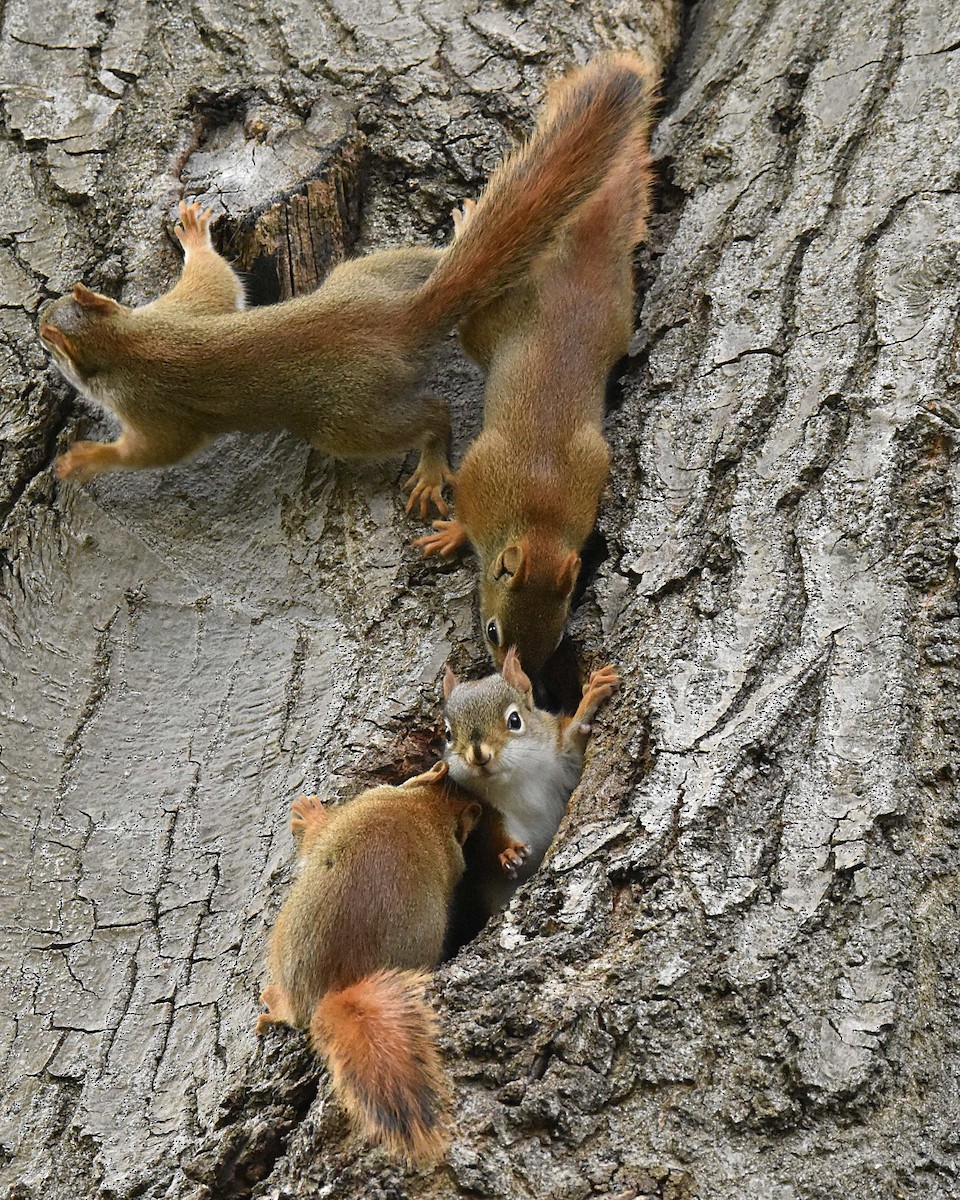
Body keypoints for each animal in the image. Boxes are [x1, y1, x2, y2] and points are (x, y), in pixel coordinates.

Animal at [39, 56, 652, 518]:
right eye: (62, 307)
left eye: (51, 339)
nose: (41, 319)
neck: (128, 337)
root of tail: (399, 319)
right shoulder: (182, 310)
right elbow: (213, 280)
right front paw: (193, 233)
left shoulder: (156, 409)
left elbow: (151, 452)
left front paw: (81, 461)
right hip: (366, 274)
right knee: (433, 262)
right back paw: (462, 228)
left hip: (347, 420)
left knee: (432, 414)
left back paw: (432, 467)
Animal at [256, 760, 481, 1165]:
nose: (482, 809)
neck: (427, 811)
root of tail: (335, 988)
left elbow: (316, 834)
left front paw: (308, 812)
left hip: (281, 941)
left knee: (294, 1017)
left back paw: (275, 1003)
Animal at [416, 52, 658, 662]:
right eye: (493, 632)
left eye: (554, 645)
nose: (517, 677)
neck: (540, 517)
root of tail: (581, 274)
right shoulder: (482, 477)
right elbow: (465, 508)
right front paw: (453, 533)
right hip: (491, 326)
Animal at [442, 648, 618, 938]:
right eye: (447, 734)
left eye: (515, 720)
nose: (479, 756)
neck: (519, 783)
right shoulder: (493, 814)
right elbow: (497, 840)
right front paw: (508, 854)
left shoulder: (564, 759)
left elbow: (573, 738)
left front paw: (590, 696)